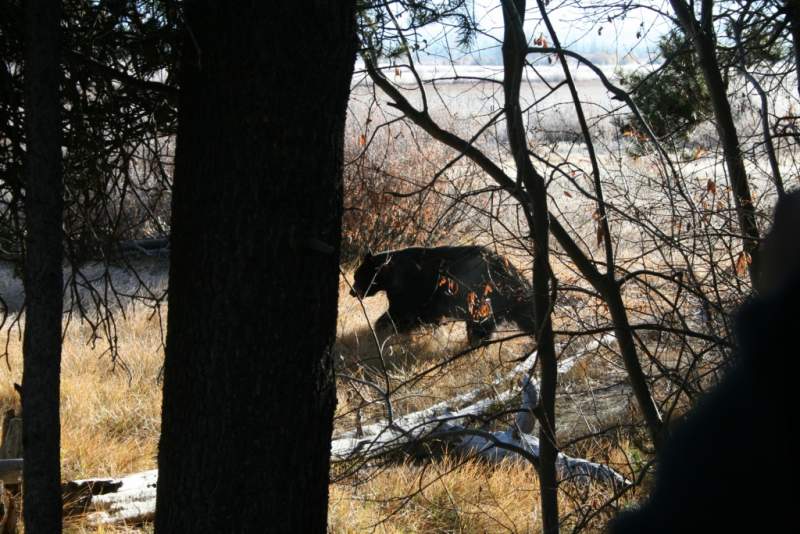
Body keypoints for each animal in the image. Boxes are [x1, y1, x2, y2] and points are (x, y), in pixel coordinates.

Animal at [348, 246, 532, 346]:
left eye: (357, 276)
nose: (352, 292)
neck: (390, 274)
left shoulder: (409, 291)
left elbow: (400, 313)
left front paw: (382, 330)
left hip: (482, 298)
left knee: (481, 326)